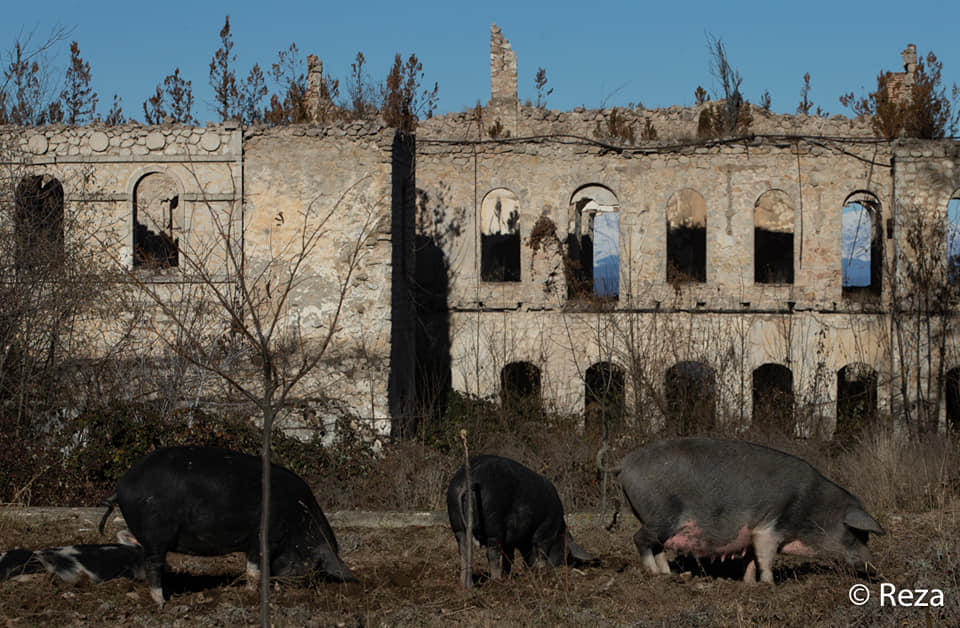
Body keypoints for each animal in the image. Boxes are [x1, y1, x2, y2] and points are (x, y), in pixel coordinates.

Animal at [99, 444, 354, 604]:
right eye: (313, 563)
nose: (294, 586)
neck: (298, 523)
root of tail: (122, 486)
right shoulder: (262, 539)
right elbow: (254, 570)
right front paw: (253, 593)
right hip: (155, 534)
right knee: (154, 565)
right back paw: (161, 602)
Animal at [448, 456, 592, 584]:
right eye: (564, 551)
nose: (563, 566)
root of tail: (466, 482)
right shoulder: (546, 531)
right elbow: (540, 550)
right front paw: (540, 570)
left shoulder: (511, 541)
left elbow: (511, 558)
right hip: (493, 524)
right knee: (492, 553)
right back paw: (497, 581)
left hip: (457, 523)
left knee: (463, 549)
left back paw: (466, 585)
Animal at [616, 440, 884, 580]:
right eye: (858, 534)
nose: (873, 566)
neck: (814, 508)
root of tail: (624, 464)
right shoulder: (770, 527)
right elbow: (766, 557)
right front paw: (769, 585)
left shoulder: (752, 535)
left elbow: (752, 559)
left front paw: (748, 583)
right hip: (660, 515)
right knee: (640, 539)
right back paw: (653, 574)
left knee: (657, 546)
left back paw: (667, 575)